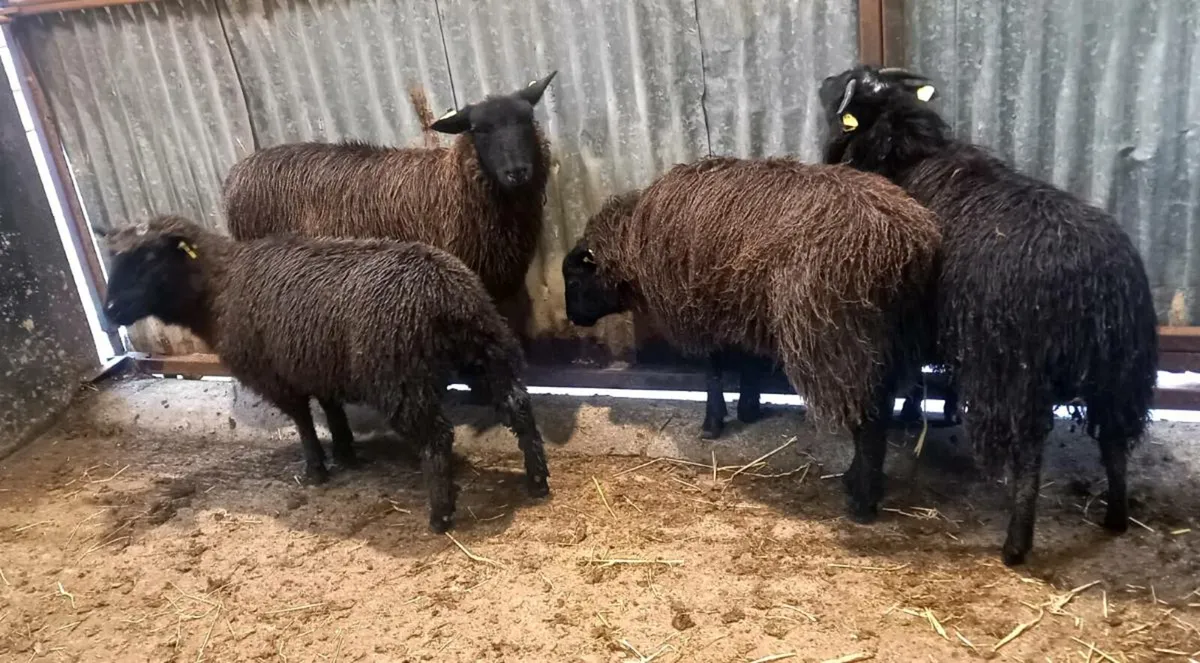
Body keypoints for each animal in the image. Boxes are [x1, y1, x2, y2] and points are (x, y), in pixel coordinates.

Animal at [101, 216, 551, 532]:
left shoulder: (276, 375)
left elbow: (302, 420)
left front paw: (316, 469)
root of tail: (445, 291)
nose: (108, 312)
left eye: (150, 258)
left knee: (437, 436)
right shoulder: (318, 366)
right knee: (518, 406)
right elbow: (332, 410)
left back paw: (440, 516)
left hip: (399, 376)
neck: (219, 289)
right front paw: (346, 453)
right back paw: (538, 482)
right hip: (489, 351)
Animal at [562, 161, 941, 521]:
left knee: (869, 418)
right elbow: (749, 363)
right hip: (893, 338)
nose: (572, 318)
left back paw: (862, 501)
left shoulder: (698, 310)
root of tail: (906, 243)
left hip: (838, 336)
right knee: (881, 407)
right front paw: (748, 409)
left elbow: (713, 371)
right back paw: (857, 479)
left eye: (574, 280)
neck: (635, 237)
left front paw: (713, 423)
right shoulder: (740, 308)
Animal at [820, 65, 1158, 565]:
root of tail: (1095, 284)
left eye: (850, 87)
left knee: (1029, 456)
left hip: (1016, 375)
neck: (906, 156)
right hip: (1120, 375)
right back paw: (1115, 516)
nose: (824, 85)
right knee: (1115, 443)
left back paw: (1016, 545)